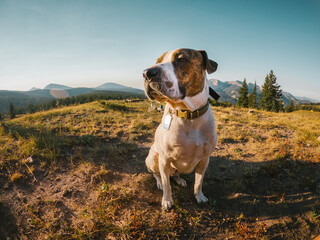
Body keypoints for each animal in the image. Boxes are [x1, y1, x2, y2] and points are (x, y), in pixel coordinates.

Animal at [144, 47, 219, 210]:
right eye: (157, 61)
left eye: (181, 59)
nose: (147, 73)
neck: (188, 115)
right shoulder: (164, 159)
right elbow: (167, 185)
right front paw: (167, 200)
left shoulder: (205, 159)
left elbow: (199, 182)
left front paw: (199, 196)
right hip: (153, 158)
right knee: (158, 175)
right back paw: (159, 182)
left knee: (174, 175)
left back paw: (180, 180)